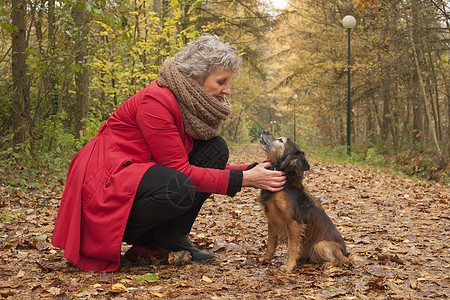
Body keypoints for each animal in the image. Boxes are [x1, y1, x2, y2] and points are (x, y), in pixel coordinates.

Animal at [256, 131, 348, 272]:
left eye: (281, 140)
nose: (264, 131)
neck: (286, 181)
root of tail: (345, 252)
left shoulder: (294, 223)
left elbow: (292, 248)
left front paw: (288, 266)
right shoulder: (272, 220)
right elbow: (270, 244)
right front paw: (265, 259)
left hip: (320, 245)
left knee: (343, 261)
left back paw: (329, 264)